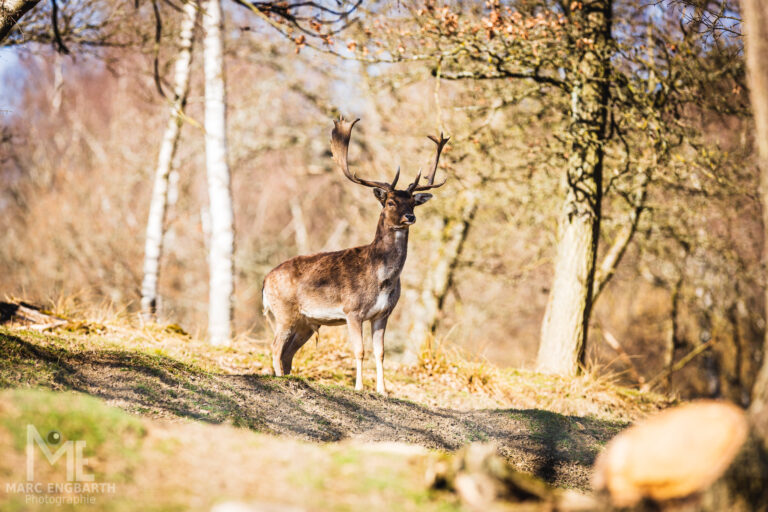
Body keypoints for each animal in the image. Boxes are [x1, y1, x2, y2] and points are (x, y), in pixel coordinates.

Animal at [262, 116, 449, 395]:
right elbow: (360, 351)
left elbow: (380, 353)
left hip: (306, 321)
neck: (382, 278)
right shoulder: (352, 310)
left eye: (413, 203)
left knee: (287, 353)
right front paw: (360, 387)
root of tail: (264, 281)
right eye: (391, 202)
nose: (410, 217)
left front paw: (383, 390)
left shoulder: (383, 313)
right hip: (283, 311)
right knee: (275, 347)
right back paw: (279, 379)